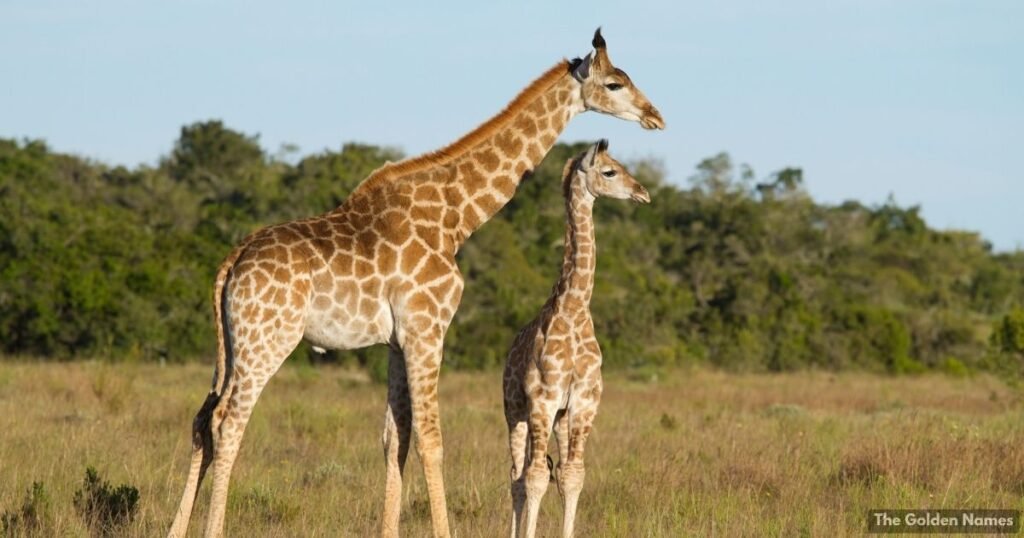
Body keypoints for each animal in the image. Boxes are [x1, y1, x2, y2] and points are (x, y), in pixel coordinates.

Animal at [503, 141, 650, 538]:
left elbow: (572, 476)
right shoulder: (542, 399)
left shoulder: (583, 402)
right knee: (517, 475)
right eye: (610, 171)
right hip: (515, 409)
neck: (574, 309)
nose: (642, 192)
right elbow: (536, 477)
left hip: (560, 418)